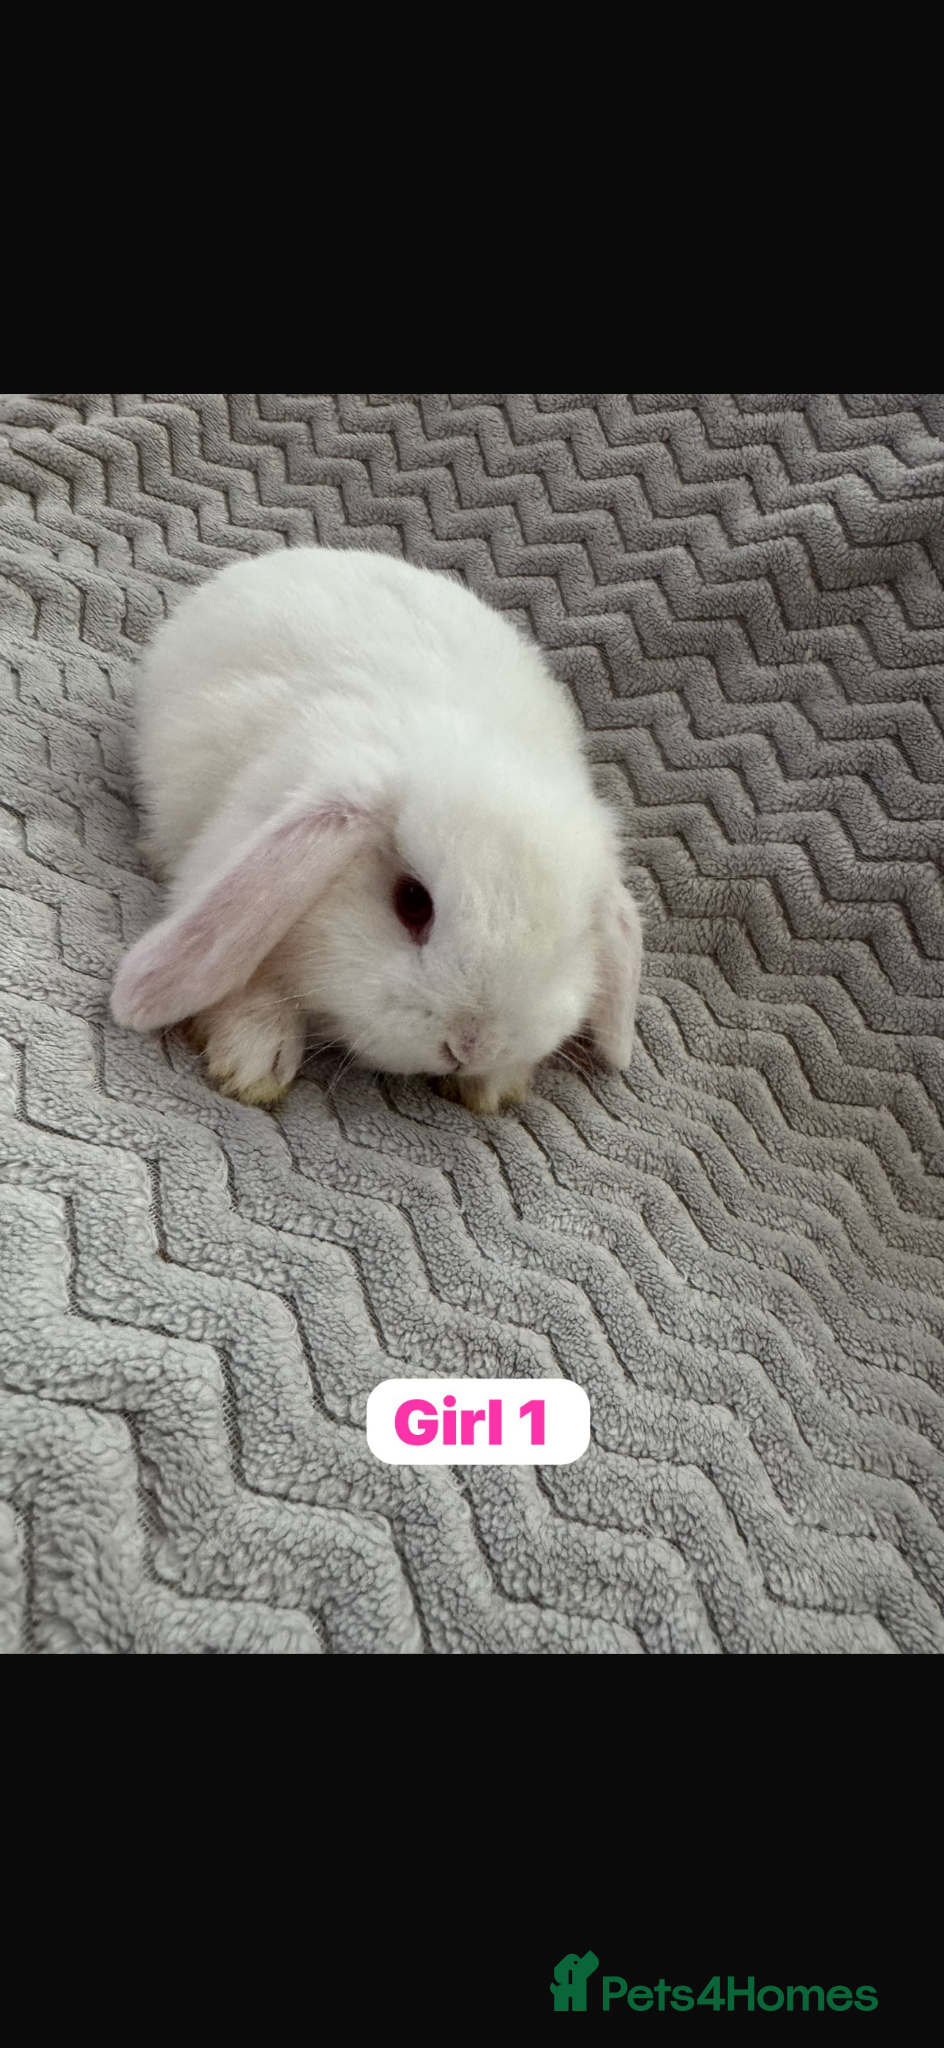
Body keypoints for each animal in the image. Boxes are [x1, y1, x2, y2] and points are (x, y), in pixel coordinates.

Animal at [110, 545, 643, 1114]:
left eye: (574, 941)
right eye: (412, 902)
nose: (471, 1046)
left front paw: (493, 1087)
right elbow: (248, 976)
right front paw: (252, 1061)